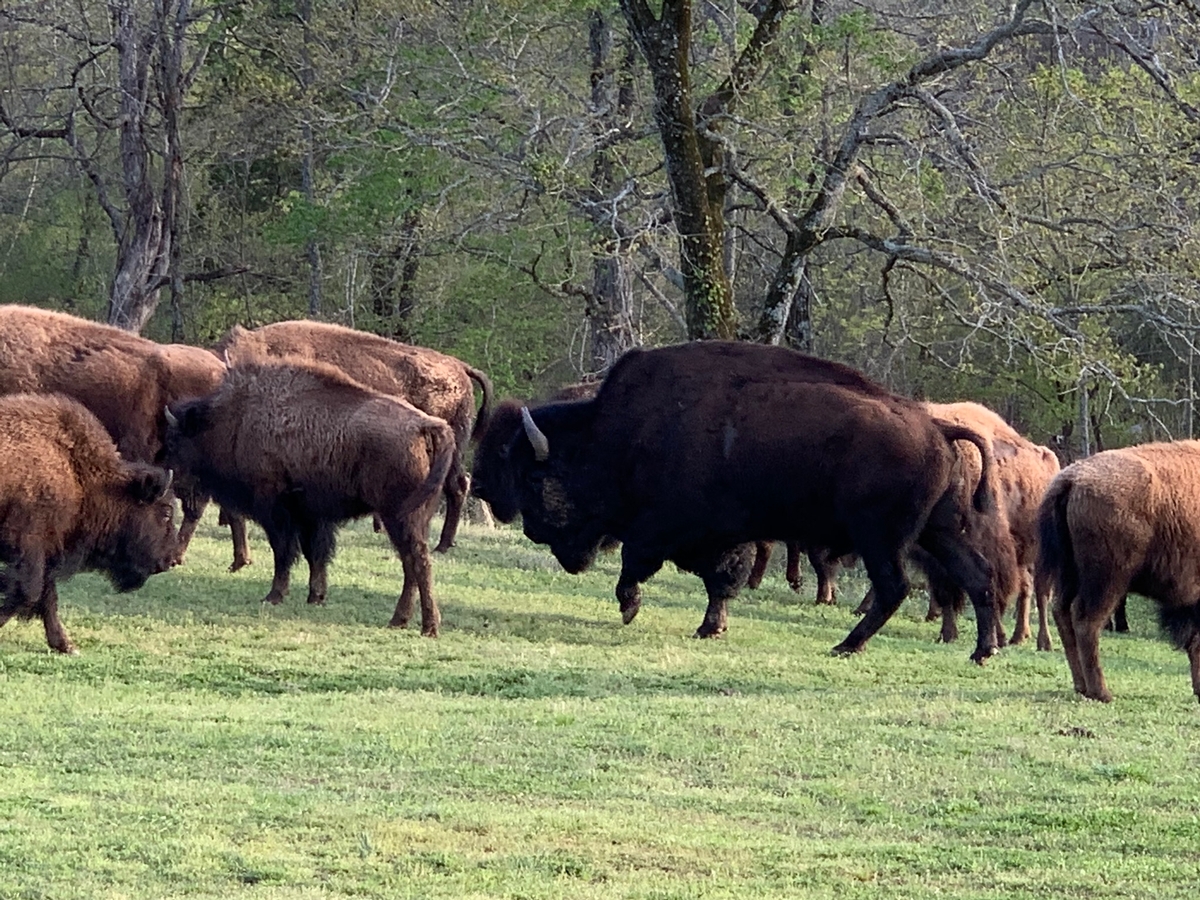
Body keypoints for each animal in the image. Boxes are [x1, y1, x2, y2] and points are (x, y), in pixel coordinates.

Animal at [0, 393, 178, 653]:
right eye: (165, 512)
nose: (171, 559)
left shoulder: (49, 549)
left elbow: (47, 595)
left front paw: (66, 645)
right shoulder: (29, 545)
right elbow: (30, 592)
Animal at [164, 360, 455, 634]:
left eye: (176, 440)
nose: (173, 480)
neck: (236, 417)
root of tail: (426, 426)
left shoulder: (277, 511)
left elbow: (284, 552)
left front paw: (274, 595)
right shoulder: (310, 515)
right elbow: (313, 554)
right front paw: (316, 596)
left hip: (397, 516)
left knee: (417, 561)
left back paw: (425, 626)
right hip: (416, 517)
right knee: (411, 563)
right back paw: (403, 620)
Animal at [472, 341, 1007, 661]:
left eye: (535, 479)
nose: (532, 531)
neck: (618, 436)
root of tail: (937, 428)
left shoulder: (664, 528)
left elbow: (638, 564)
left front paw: (630, 608)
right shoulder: (724, 534)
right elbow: (721, 580)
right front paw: (712, 628)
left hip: (881, 537)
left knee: (895, 587)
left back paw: (846, 646)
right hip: (939, 531)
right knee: (978, 577)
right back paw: (983, 652)